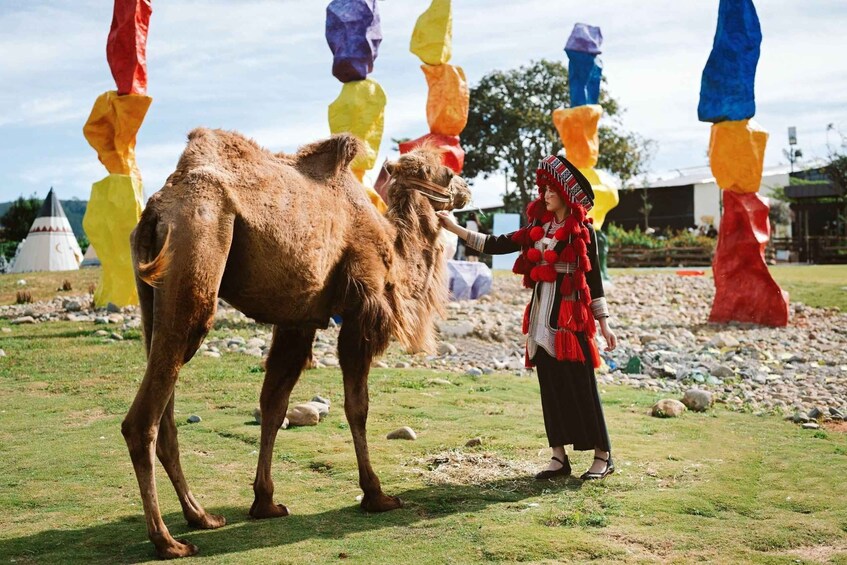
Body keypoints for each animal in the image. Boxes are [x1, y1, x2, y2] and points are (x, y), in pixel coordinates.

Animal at [122, 128, 471, 559]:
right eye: (445, 172)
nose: (466, 190)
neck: (391, 245)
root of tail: (156, 210)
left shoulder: (298, 319)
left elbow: (274, 405)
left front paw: (265, 502)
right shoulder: (361, 306)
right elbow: (357, 407)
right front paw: (377, 495)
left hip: (152, 296)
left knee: (165, 404)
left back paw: (200, 516)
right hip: (197, 251)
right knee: (144, 418)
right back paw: (168, 541)